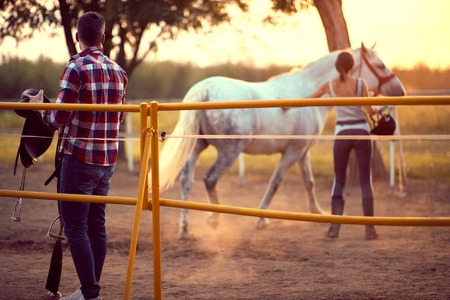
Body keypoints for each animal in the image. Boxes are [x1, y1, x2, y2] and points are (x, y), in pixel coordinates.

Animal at [155, 42, 404, 239]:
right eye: (380, 66)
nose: (400, 91)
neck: (306, 93)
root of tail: (204, 89)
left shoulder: (303, 153)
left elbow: (309, 182)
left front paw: (317, 211)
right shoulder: (291, 153)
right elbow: (275, 182)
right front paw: (261, 219)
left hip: (197, 147)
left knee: (186, 181)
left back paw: (185, 229)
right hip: (229, 153)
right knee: (209, 179)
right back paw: (214, 219)